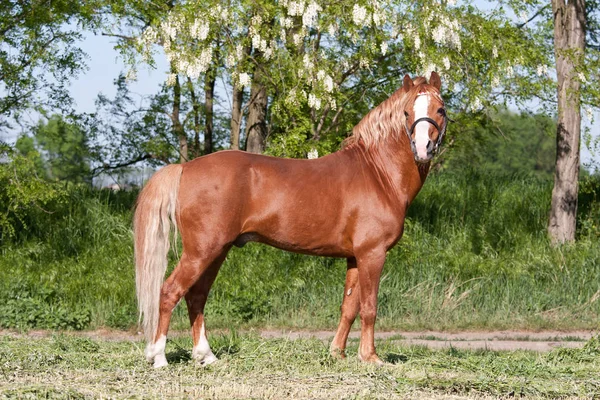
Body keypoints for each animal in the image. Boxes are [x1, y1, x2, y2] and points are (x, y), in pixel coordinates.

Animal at [135, 72, 446, 366]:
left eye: (440, 109)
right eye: (406, 112)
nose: (423, 148)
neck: (377, 174)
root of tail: (186, 167)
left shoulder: (355, 257)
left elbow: (349, 307)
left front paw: (337, 353)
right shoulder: (373, 254)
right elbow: (369, 307)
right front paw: (370, 357)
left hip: (215, 251)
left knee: (196, 296)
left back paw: (206, 355)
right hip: (201, 251)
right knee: (169, 292)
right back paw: (159, 357)